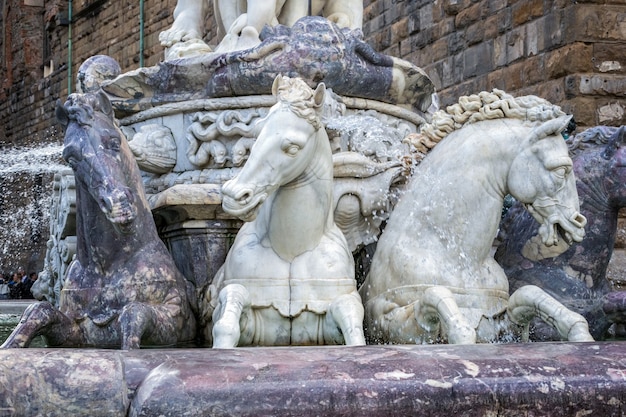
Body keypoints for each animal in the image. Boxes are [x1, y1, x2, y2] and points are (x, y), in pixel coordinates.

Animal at [1, 92, 196, 350]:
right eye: (70, 157)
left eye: (114, 141)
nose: (118, 202)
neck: (108, 266)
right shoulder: (78, 333)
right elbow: (39, 309)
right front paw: (10, 344)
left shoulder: (177, 320)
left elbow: (134, 313)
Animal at [204, 75, 366, 348]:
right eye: (257, 133)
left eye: (292, 148)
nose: (235, 195)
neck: (292, 248)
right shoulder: (253, 323)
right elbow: (227, 317)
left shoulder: (328, 320)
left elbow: (354, 327)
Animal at [358, 89, 592, 342]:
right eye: (562, 170)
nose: (578, 223)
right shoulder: (388, 322)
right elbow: (437, 297)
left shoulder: (496, 322)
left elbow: (530, 294)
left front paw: (581, 334)